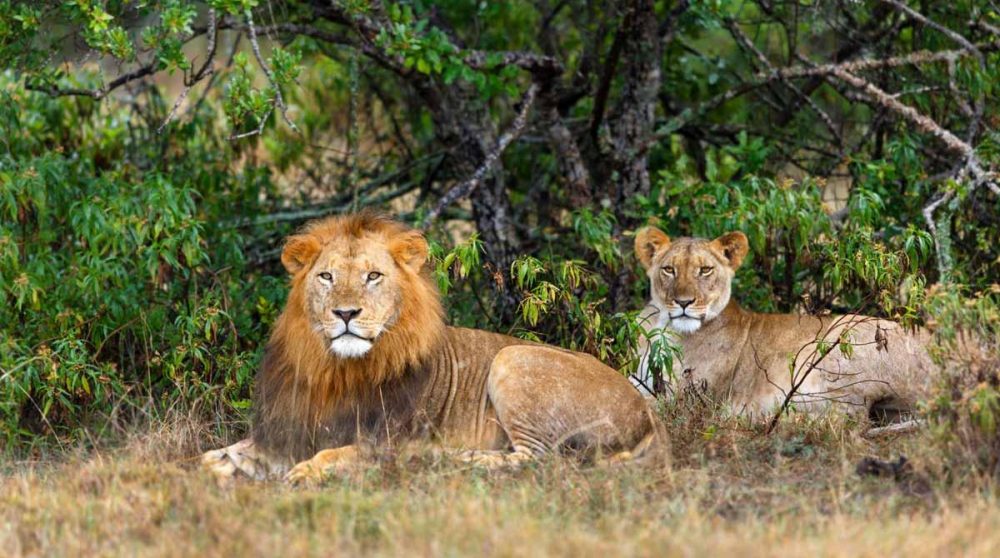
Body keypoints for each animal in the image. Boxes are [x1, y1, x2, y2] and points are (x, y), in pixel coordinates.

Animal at [202, 213, 663, 484]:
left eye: (373, 276)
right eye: (326, 277)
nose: (346, 313)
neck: (337, 370)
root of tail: (646, 416)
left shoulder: (390, 440)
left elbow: (340, 454)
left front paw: (306, 472)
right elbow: (214, 457)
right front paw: (220, 469)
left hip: (513, 357)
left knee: (539, 459)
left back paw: (456, 460)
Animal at [631, 226, 935, 424]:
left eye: (705, 270)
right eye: (669, 269)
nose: (683, 302)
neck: (664, 327)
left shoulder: (688, 399)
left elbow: (641, 405)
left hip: (844, 339)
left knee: (845, 417)